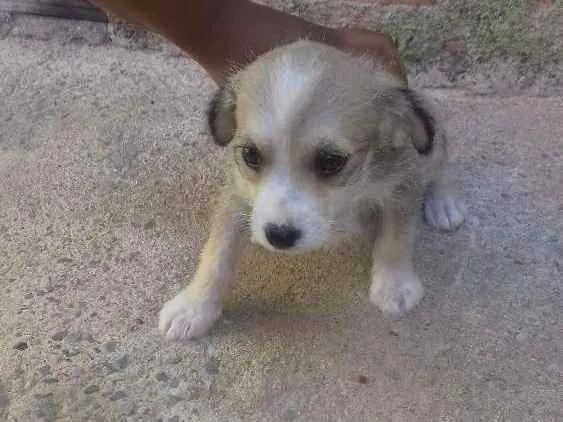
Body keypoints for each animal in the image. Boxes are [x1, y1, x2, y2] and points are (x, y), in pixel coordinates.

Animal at [158, 39, 462, 342]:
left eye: (331, 161)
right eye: (250, 155)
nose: (279, 236)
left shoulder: (402, 179)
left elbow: (395, 238)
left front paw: (395, 285)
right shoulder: (237, 193)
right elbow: (217, 253)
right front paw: (193, 307)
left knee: (443, 154)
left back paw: (444, 203)